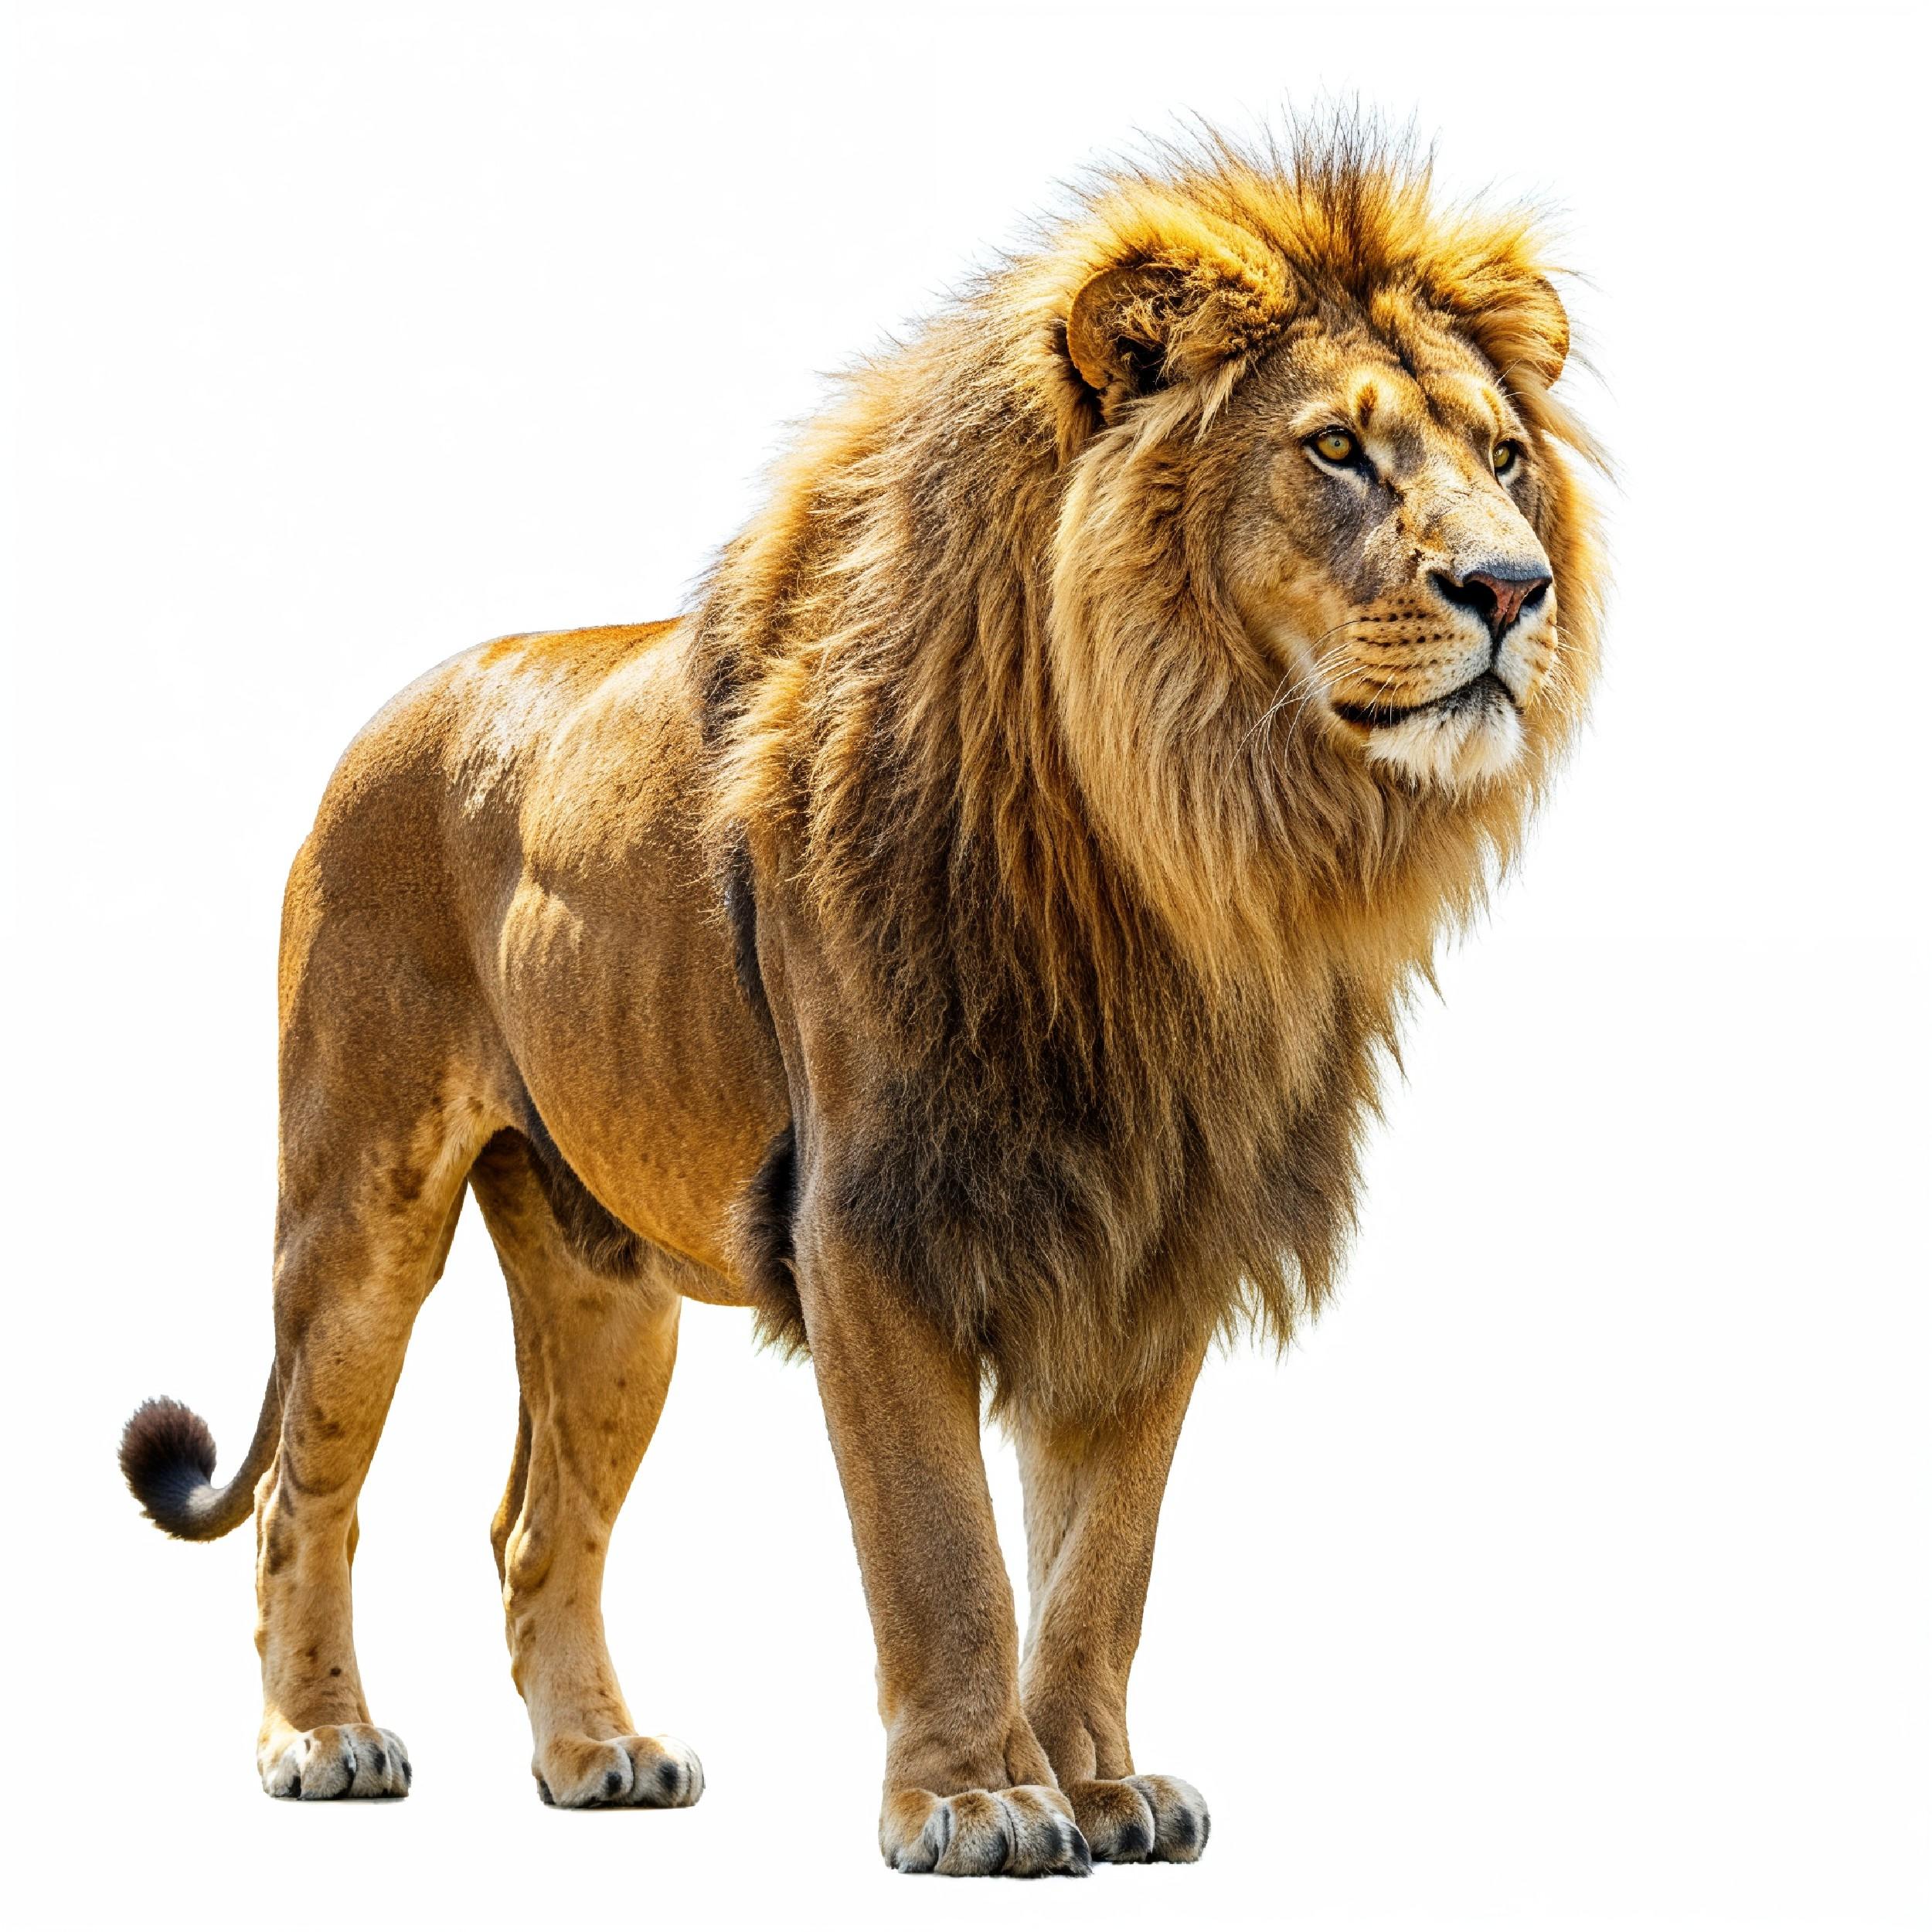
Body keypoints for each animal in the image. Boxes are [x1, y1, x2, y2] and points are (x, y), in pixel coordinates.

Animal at [119, 121, 1604, 1876]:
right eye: (1333, 452)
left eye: (1501, 455)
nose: (1512, 587)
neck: (1178, 846)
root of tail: (402, 705)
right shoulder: (873, 1221)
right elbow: (941, 1547)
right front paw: (976, 1800)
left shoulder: (1155, 1224)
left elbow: (1100, 1565)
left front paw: (1097, 1783)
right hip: (356, 1207)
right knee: (306, 1493)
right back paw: (321, 1738)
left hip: (605, 1279)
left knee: (537, 1527)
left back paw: (596, 1752)